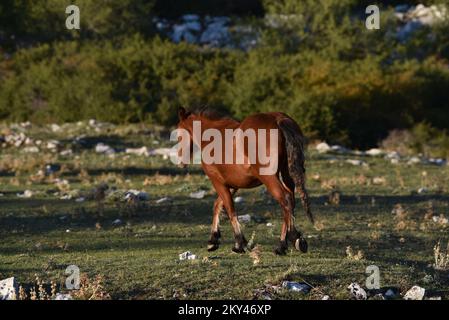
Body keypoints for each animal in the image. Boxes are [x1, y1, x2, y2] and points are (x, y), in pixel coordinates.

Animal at [177, 107, 314, 255]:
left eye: (178, 135)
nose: (181, 162)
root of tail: (279, 120)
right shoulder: (233, 184)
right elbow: (218, 205)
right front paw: (214, 240)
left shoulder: (218, 182)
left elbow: (230, 210)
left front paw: (238, 243)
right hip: (287, 175)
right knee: (291, 201)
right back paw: (296, 240)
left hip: (270, 178)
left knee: (286, 200)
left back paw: (283, 244)